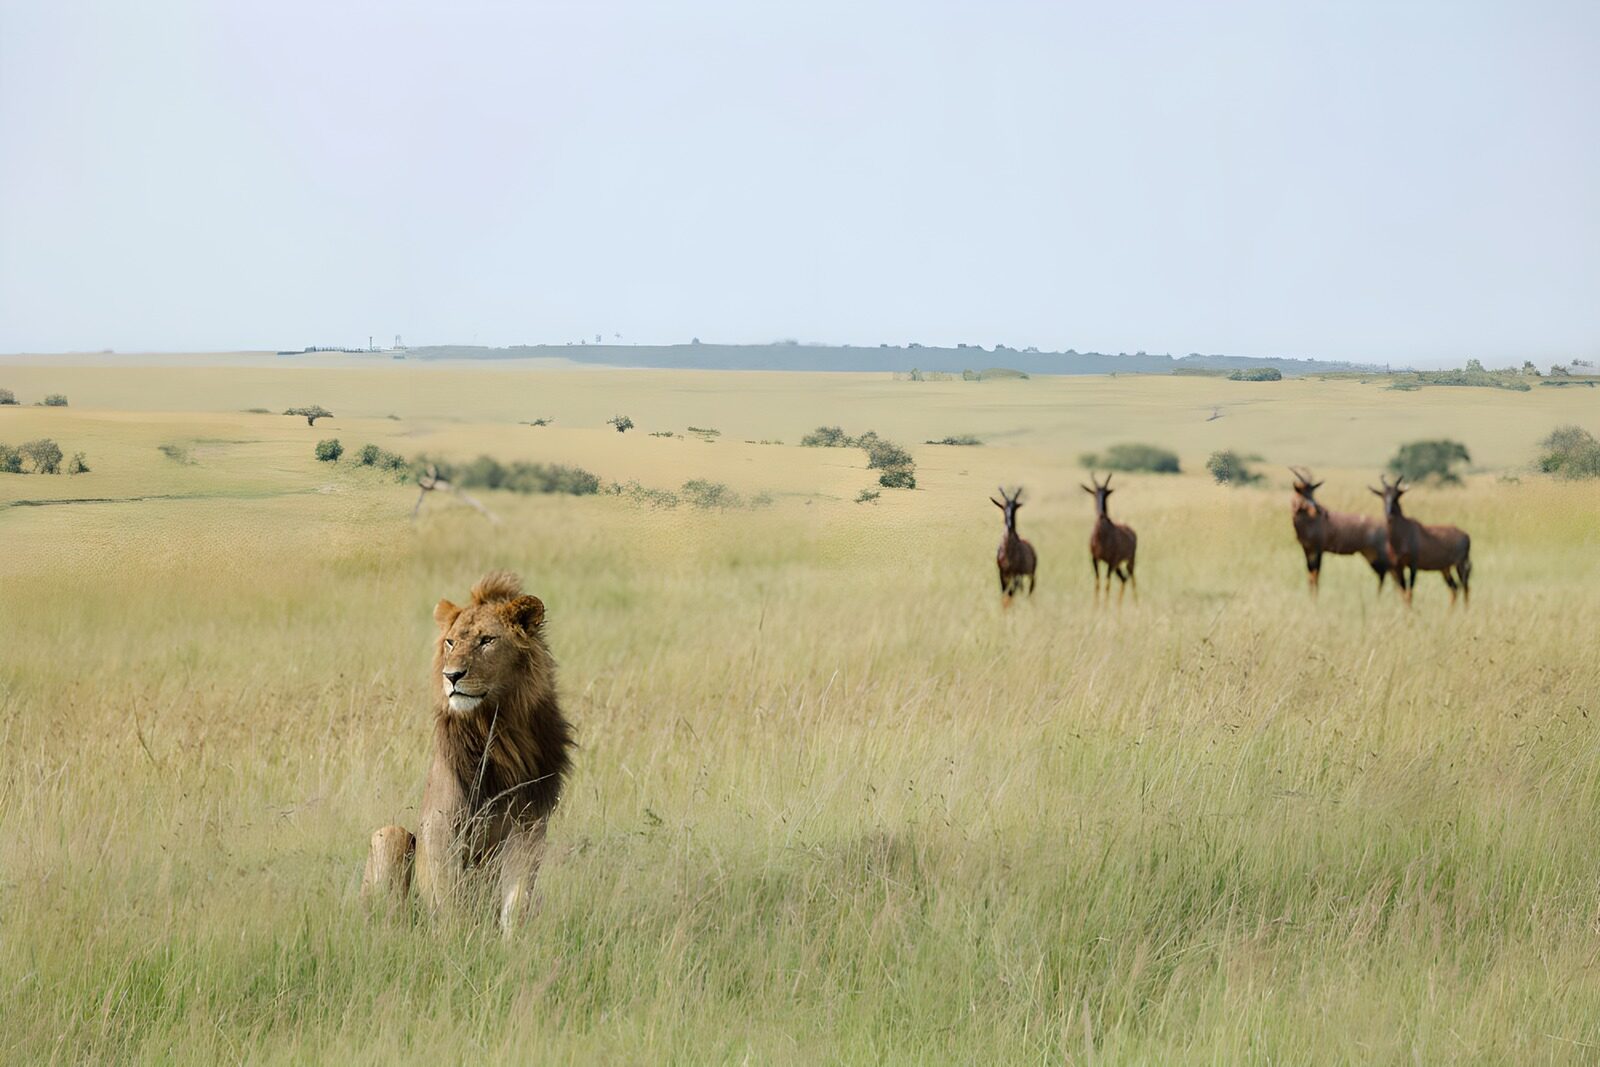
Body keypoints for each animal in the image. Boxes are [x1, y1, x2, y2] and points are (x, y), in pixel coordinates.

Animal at [363, 571, 574, 930]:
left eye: (486, 640)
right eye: (450, 642)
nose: (451, 676)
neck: (497, 726)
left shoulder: (528, 824)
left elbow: (517, 899)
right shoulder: (441, 825)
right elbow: (449, 900)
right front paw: (455, 939)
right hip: (388, 835)